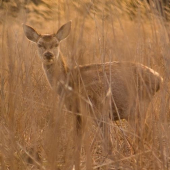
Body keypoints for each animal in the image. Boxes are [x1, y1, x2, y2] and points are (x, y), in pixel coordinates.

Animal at [22, 20, 163, 169]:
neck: (68, 81)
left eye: (56, 44)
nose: (48, 55)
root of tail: (159, 79)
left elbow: (86, 142)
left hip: (137, 107)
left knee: (142, 136)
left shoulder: (92, 109)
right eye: (39, 44)